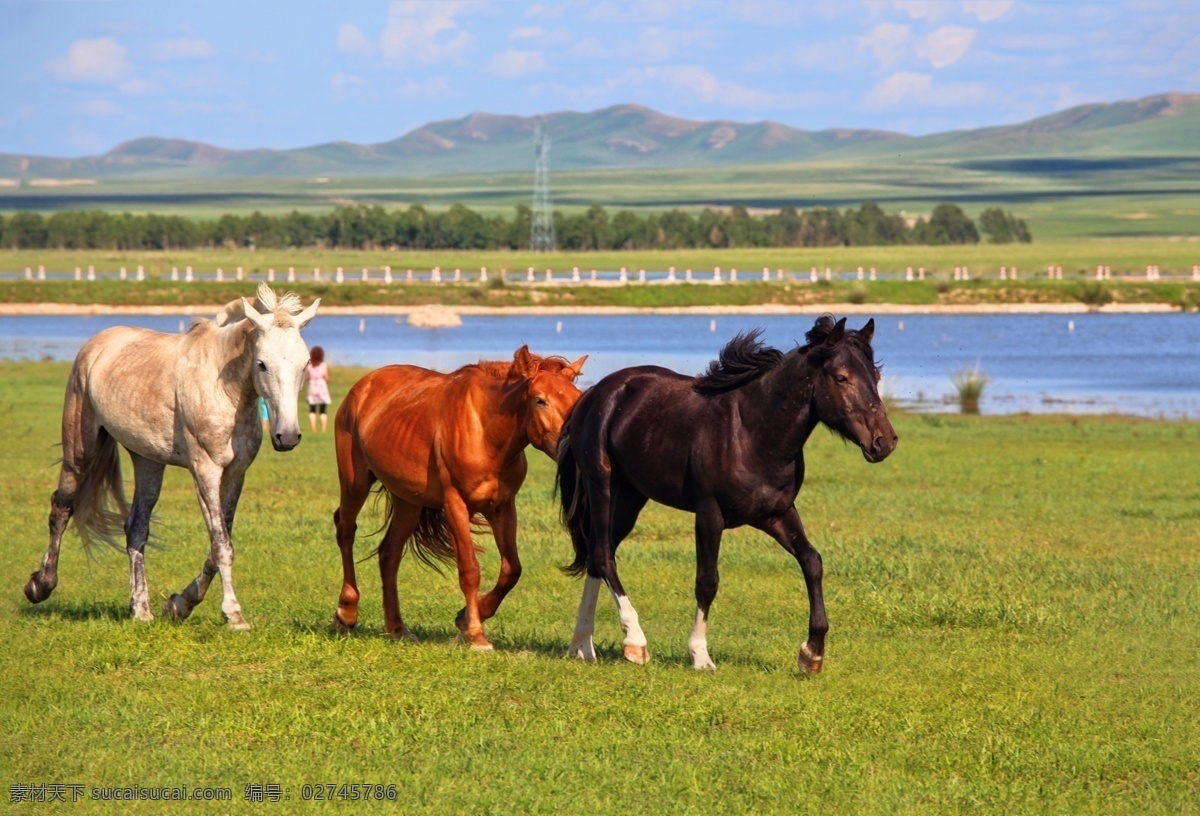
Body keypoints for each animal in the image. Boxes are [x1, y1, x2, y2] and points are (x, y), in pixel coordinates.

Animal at [25, 283, 321, 628]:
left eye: (304, 364)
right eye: (262, 363)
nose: (287, 436)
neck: (223, 390)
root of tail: (95, 346)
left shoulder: (235, 475)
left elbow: (218, 543)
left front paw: (180, 604)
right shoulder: (205, 472)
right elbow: (222, 545)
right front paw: (234, 615)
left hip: (148, 461)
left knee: (136, 528)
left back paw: (141, 609)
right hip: (79, 450)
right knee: (62, 507)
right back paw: (40, 586)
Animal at [333, 343, 585, 648]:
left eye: (577, 398)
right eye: (540, 400)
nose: (571, 445)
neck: (485, 432)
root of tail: (362, 387)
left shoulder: (503, 508)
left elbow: (511, 570)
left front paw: (467, 616)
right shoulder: (455, 505)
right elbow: (469, 569)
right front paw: (476, 634)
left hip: (408, 503)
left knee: (389, 554)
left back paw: (397, 628)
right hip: (354, 483)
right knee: (346, 531)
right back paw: (346, 612)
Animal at [556, 314, 897, 672]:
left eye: (875, 376)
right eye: (841, 377)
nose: (884, 441)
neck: (751, 433)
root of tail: (594, 394)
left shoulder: (777, 514)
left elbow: (812, 562)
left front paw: (812, 654)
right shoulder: (710, 515)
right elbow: (707, 581)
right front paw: (700, 655)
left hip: (631, 497)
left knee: (597, 554)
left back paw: (582, 646)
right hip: (603, 486)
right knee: (603, 556)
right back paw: (634, 643)